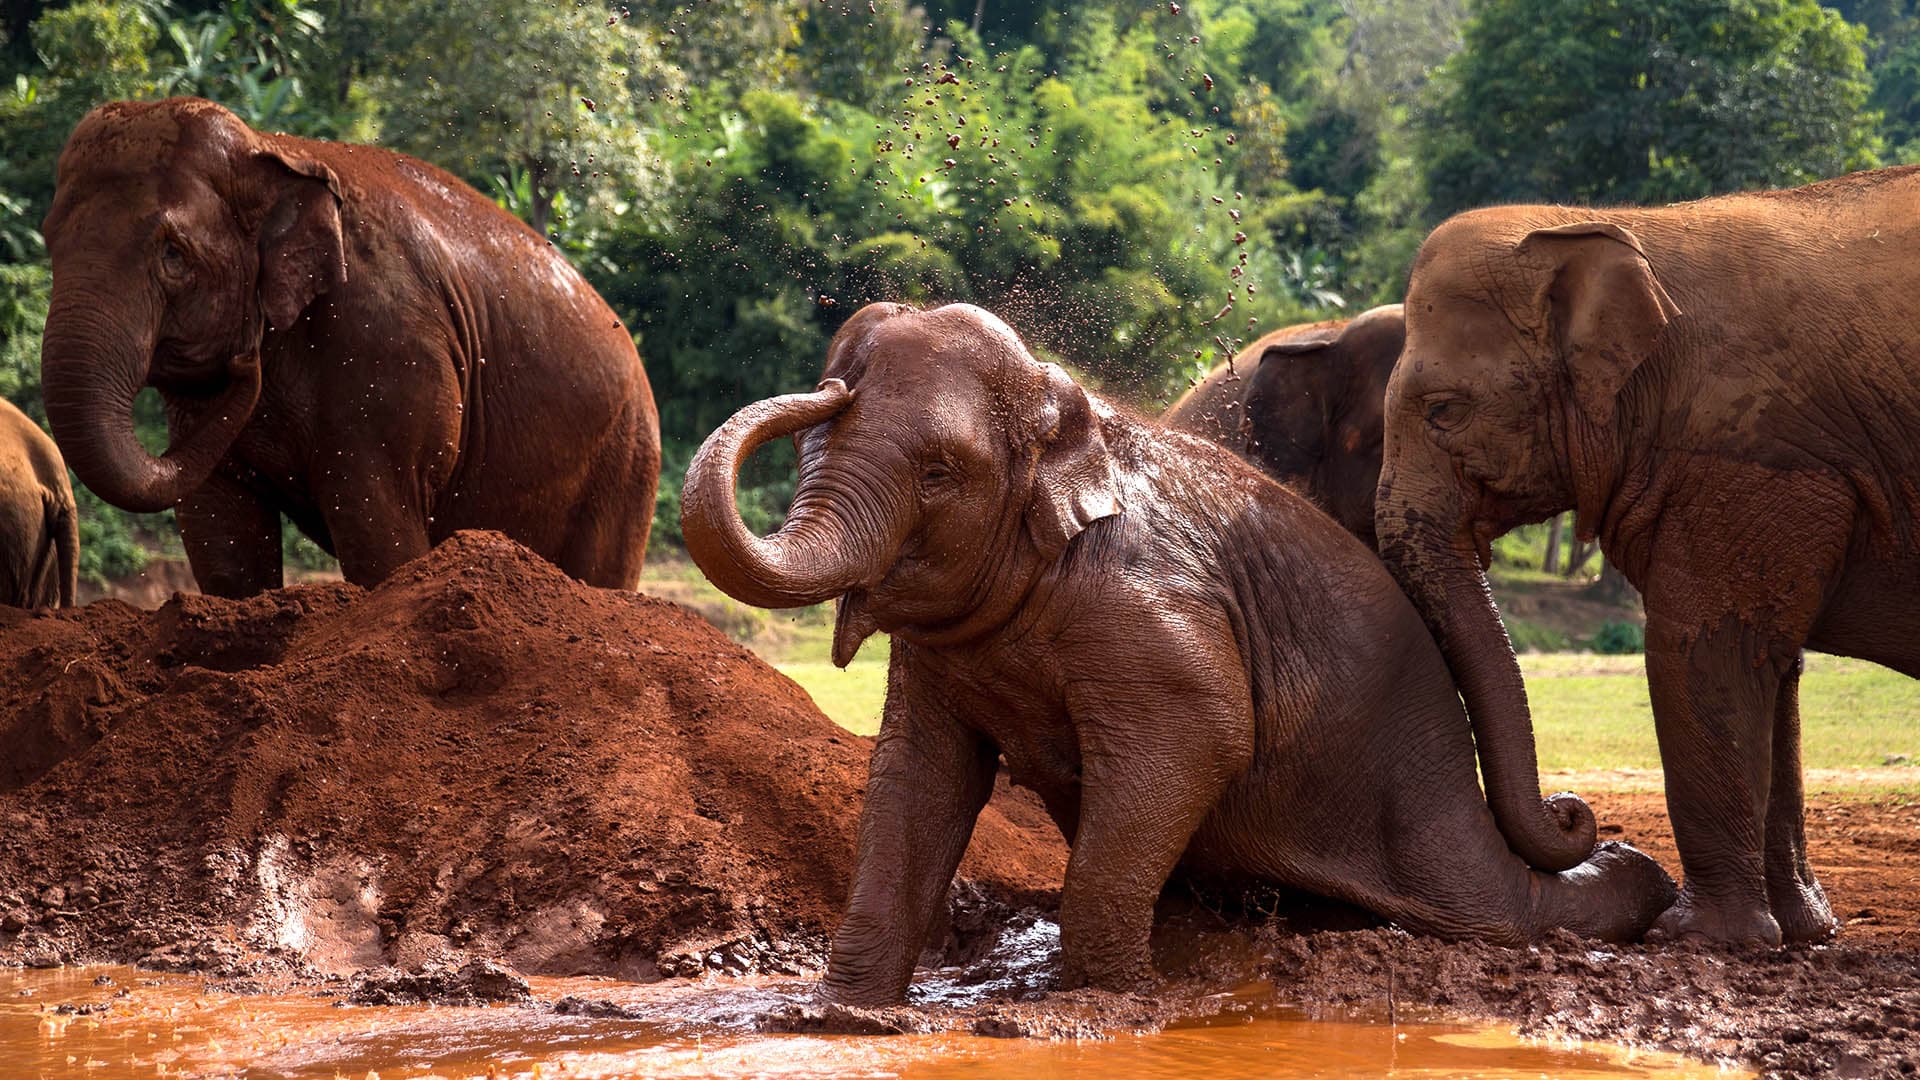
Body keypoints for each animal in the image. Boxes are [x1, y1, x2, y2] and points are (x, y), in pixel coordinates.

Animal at [38, 98, 660, 598]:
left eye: (173, 255)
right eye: (49, 242)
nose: (245, 356)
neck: (274, 151)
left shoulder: (388, 344)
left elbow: (376, 532)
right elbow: (222, 537)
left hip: (625, 463)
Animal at [1374, 169, 1920, 947]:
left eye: (1444, 410)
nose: (1576, 813)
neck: (1606, 224)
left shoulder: (1747, 459)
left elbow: (1703, 651)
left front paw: (1699, 938)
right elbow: (1771, 667)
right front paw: (1801, 935)